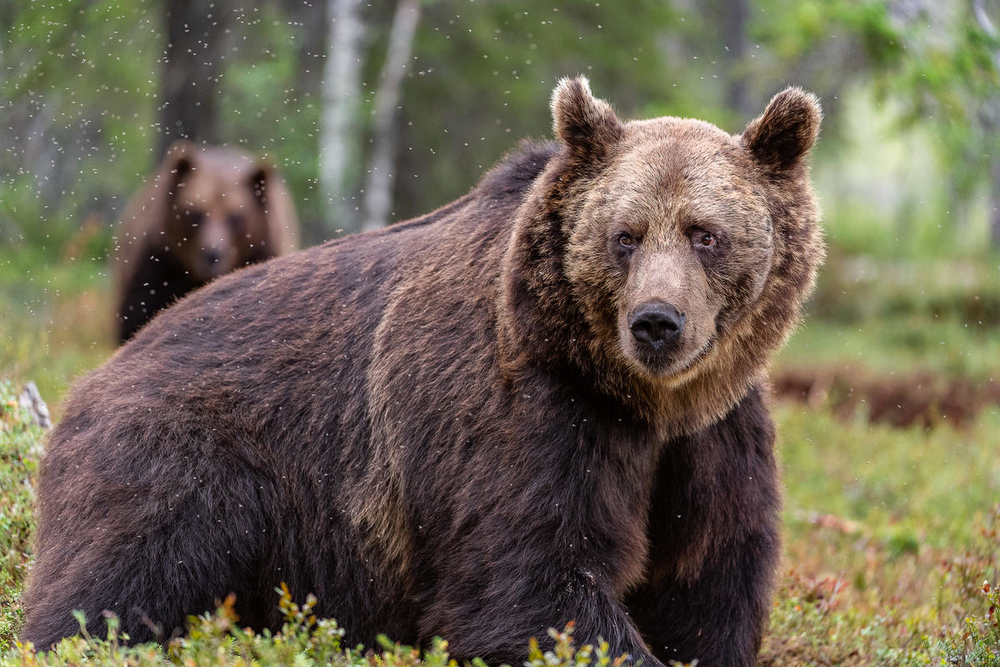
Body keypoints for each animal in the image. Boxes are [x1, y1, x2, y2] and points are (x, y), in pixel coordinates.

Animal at [113, 138, 298, 342]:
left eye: (235, 218)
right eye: (195, 213)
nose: (212, 254)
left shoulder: (264, 253)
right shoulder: (157, 263)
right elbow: (140, 311)